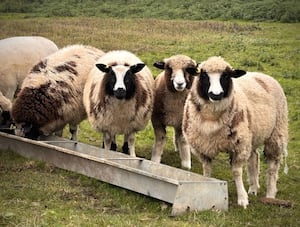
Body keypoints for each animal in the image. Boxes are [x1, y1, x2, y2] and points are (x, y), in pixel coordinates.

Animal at [182, 56, 290, 207]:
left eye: (226, 76)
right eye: (203, 75)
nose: (216, 95)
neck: (211, 118)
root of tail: (261, 74)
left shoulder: (239, 145)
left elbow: (236, 172)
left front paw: (242, 199)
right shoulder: (202, 147)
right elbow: (207, 170)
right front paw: (206, 186)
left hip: (276, 132)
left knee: (273, 166)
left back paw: (270, 194)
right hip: (251, 135)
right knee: (254, 158)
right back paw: (253, 188)